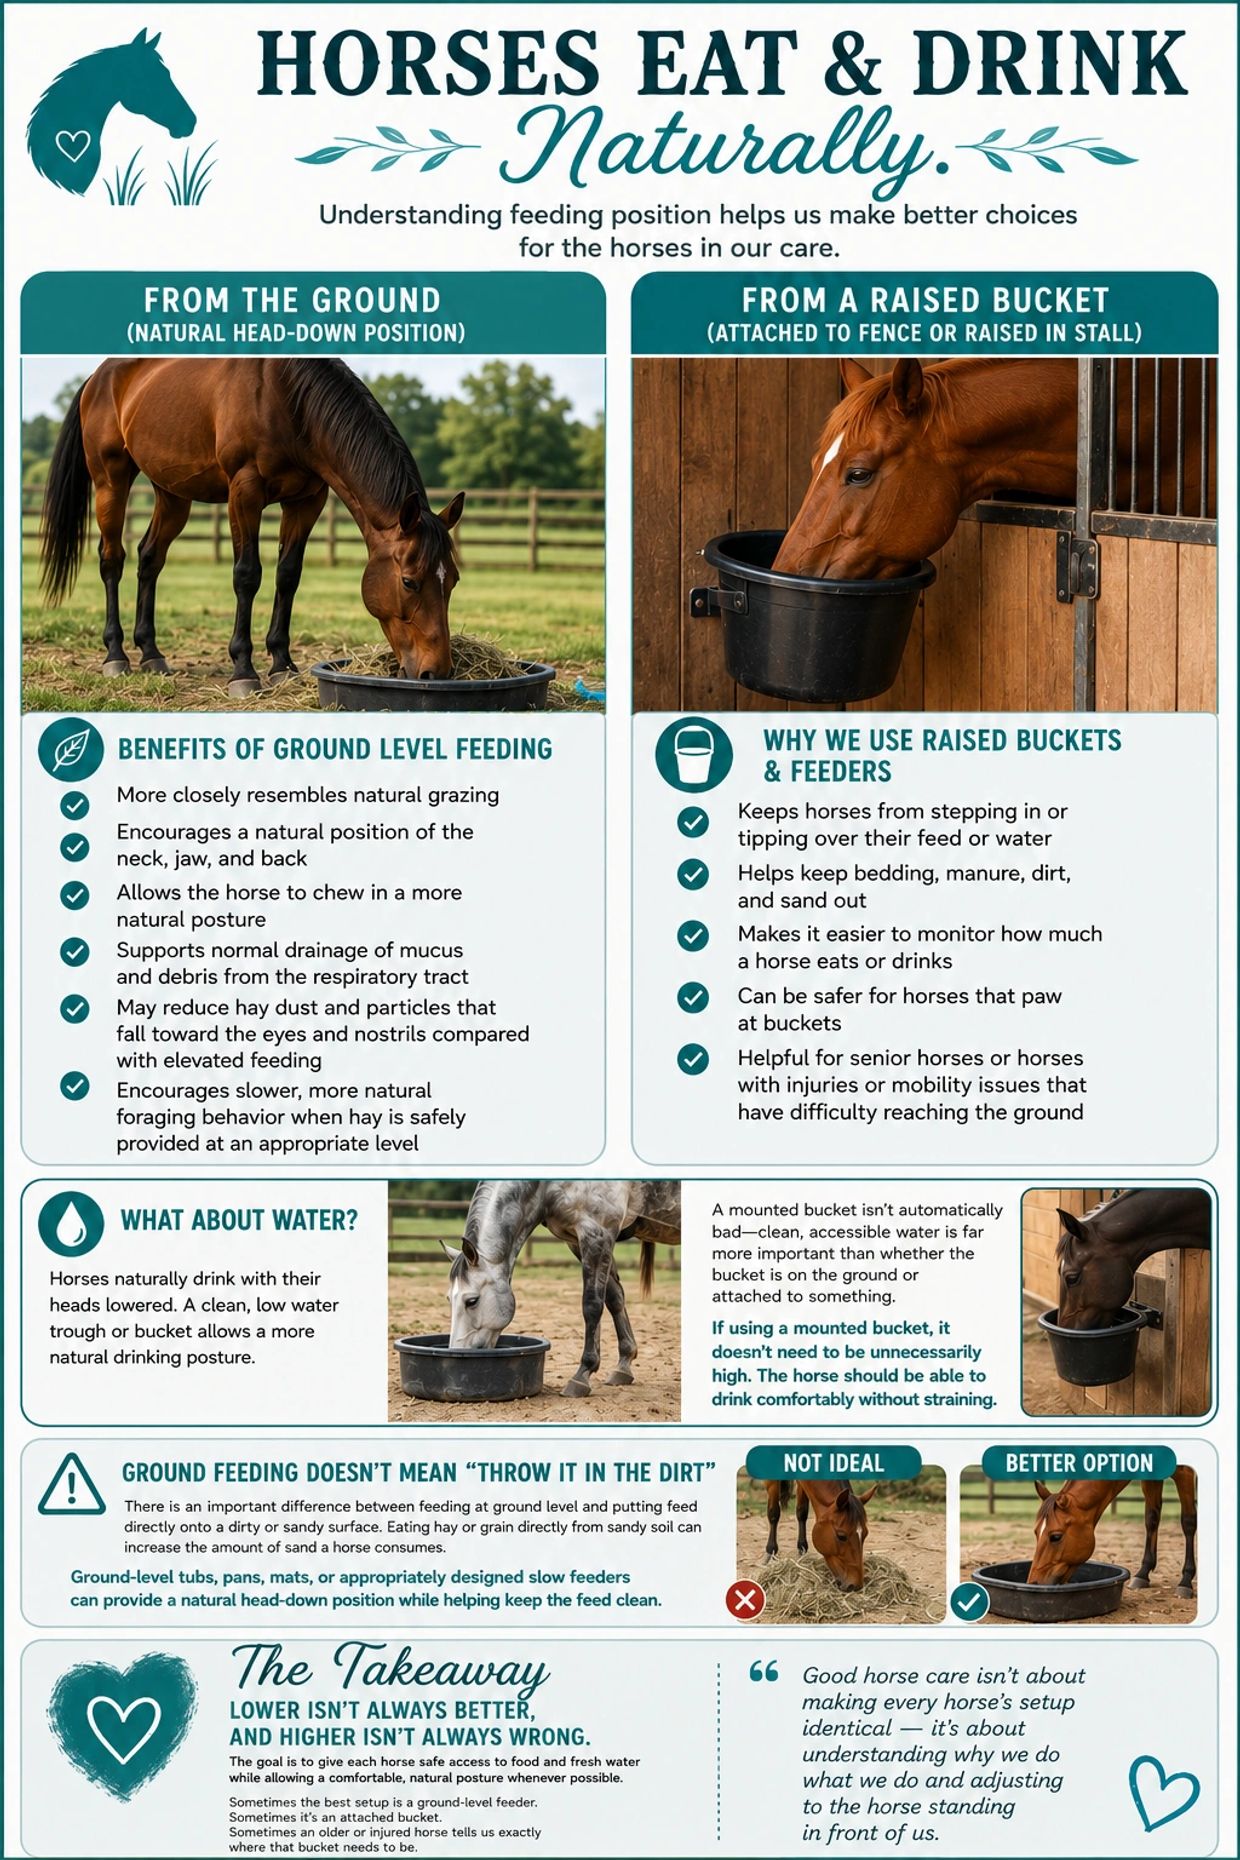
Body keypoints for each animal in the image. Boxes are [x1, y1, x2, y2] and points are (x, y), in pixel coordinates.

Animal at [40, 358, 465, 692]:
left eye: (454, 580)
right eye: (409, 582)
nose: (436, 672)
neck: (289, 400)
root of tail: (98, 377)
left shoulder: (306, 501)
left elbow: (287, 575)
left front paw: (282, 665)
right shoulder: (244, 491)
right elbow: (247, 575)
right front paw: (244, 671)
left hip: (173, 495)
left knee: (150, 559)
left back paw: (151, 653)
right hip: (110, 481)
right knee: (112, 559)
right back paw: (116, 655)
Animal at [442, 1180, 681, 1397]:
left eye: (472, 1301)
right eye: (448, 1299)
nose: (458, 1352)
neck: (546, 1185)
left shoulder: (597, 1234)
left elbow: (592, 1305)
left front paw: (582, 1375)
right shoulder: (577, 1240)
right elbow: (614, 1298)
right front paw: (624, 1364)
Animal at [1028, 1468, 1197, 1598]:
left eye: (1056, 1536)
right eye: (1036, 1532)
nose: (1033, 1583)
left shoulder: (1185, 1472)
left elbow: (1188, 1522)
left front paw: (1186, 1580)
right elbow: (1151, 1519)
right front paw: (1143, 1573)